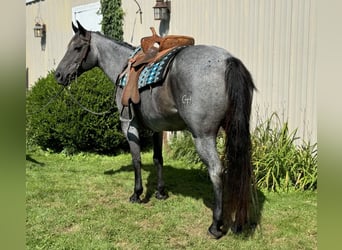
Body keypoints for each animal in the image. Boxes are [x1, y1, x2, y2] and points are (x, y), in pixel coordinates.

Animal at [54, 22, 255, 238]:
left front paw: (137, 193)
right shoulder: (157, 128)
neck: (122, 65)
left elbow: (136, 159)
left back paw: (216, 225)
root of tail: (228, 60)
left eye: (77, 48)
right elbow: (158, 159)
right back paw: (238, 222)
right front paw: (160, 192)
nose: (58, 75)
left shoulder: (129, 125)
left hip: (203, 136)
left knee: (216, 171)